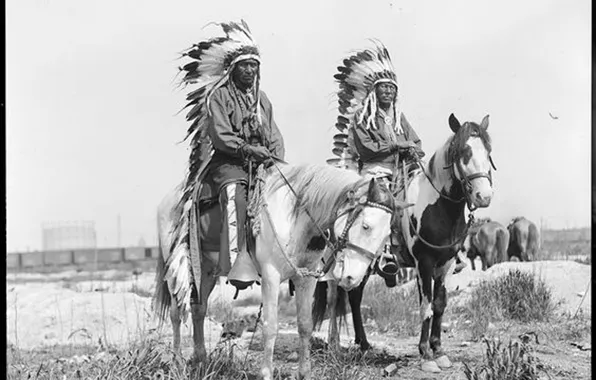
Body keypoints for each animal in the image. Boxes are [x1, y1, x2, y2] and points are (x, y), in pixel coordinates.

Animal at [154, 163, 406, 380]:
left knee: (198, 310)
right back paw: (177, 361)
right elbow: (270, 326)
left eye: (387, 235)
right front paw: (266, 373)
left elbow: (305, 325)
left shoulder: (306, 279)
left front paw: (304, 373)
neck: (296, 219)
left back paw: (201, 360)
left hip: (206, 268)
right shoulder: (271, 277)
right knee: (177, 313)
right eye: (366, 226)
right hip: (179, 264)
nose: (352, 278)